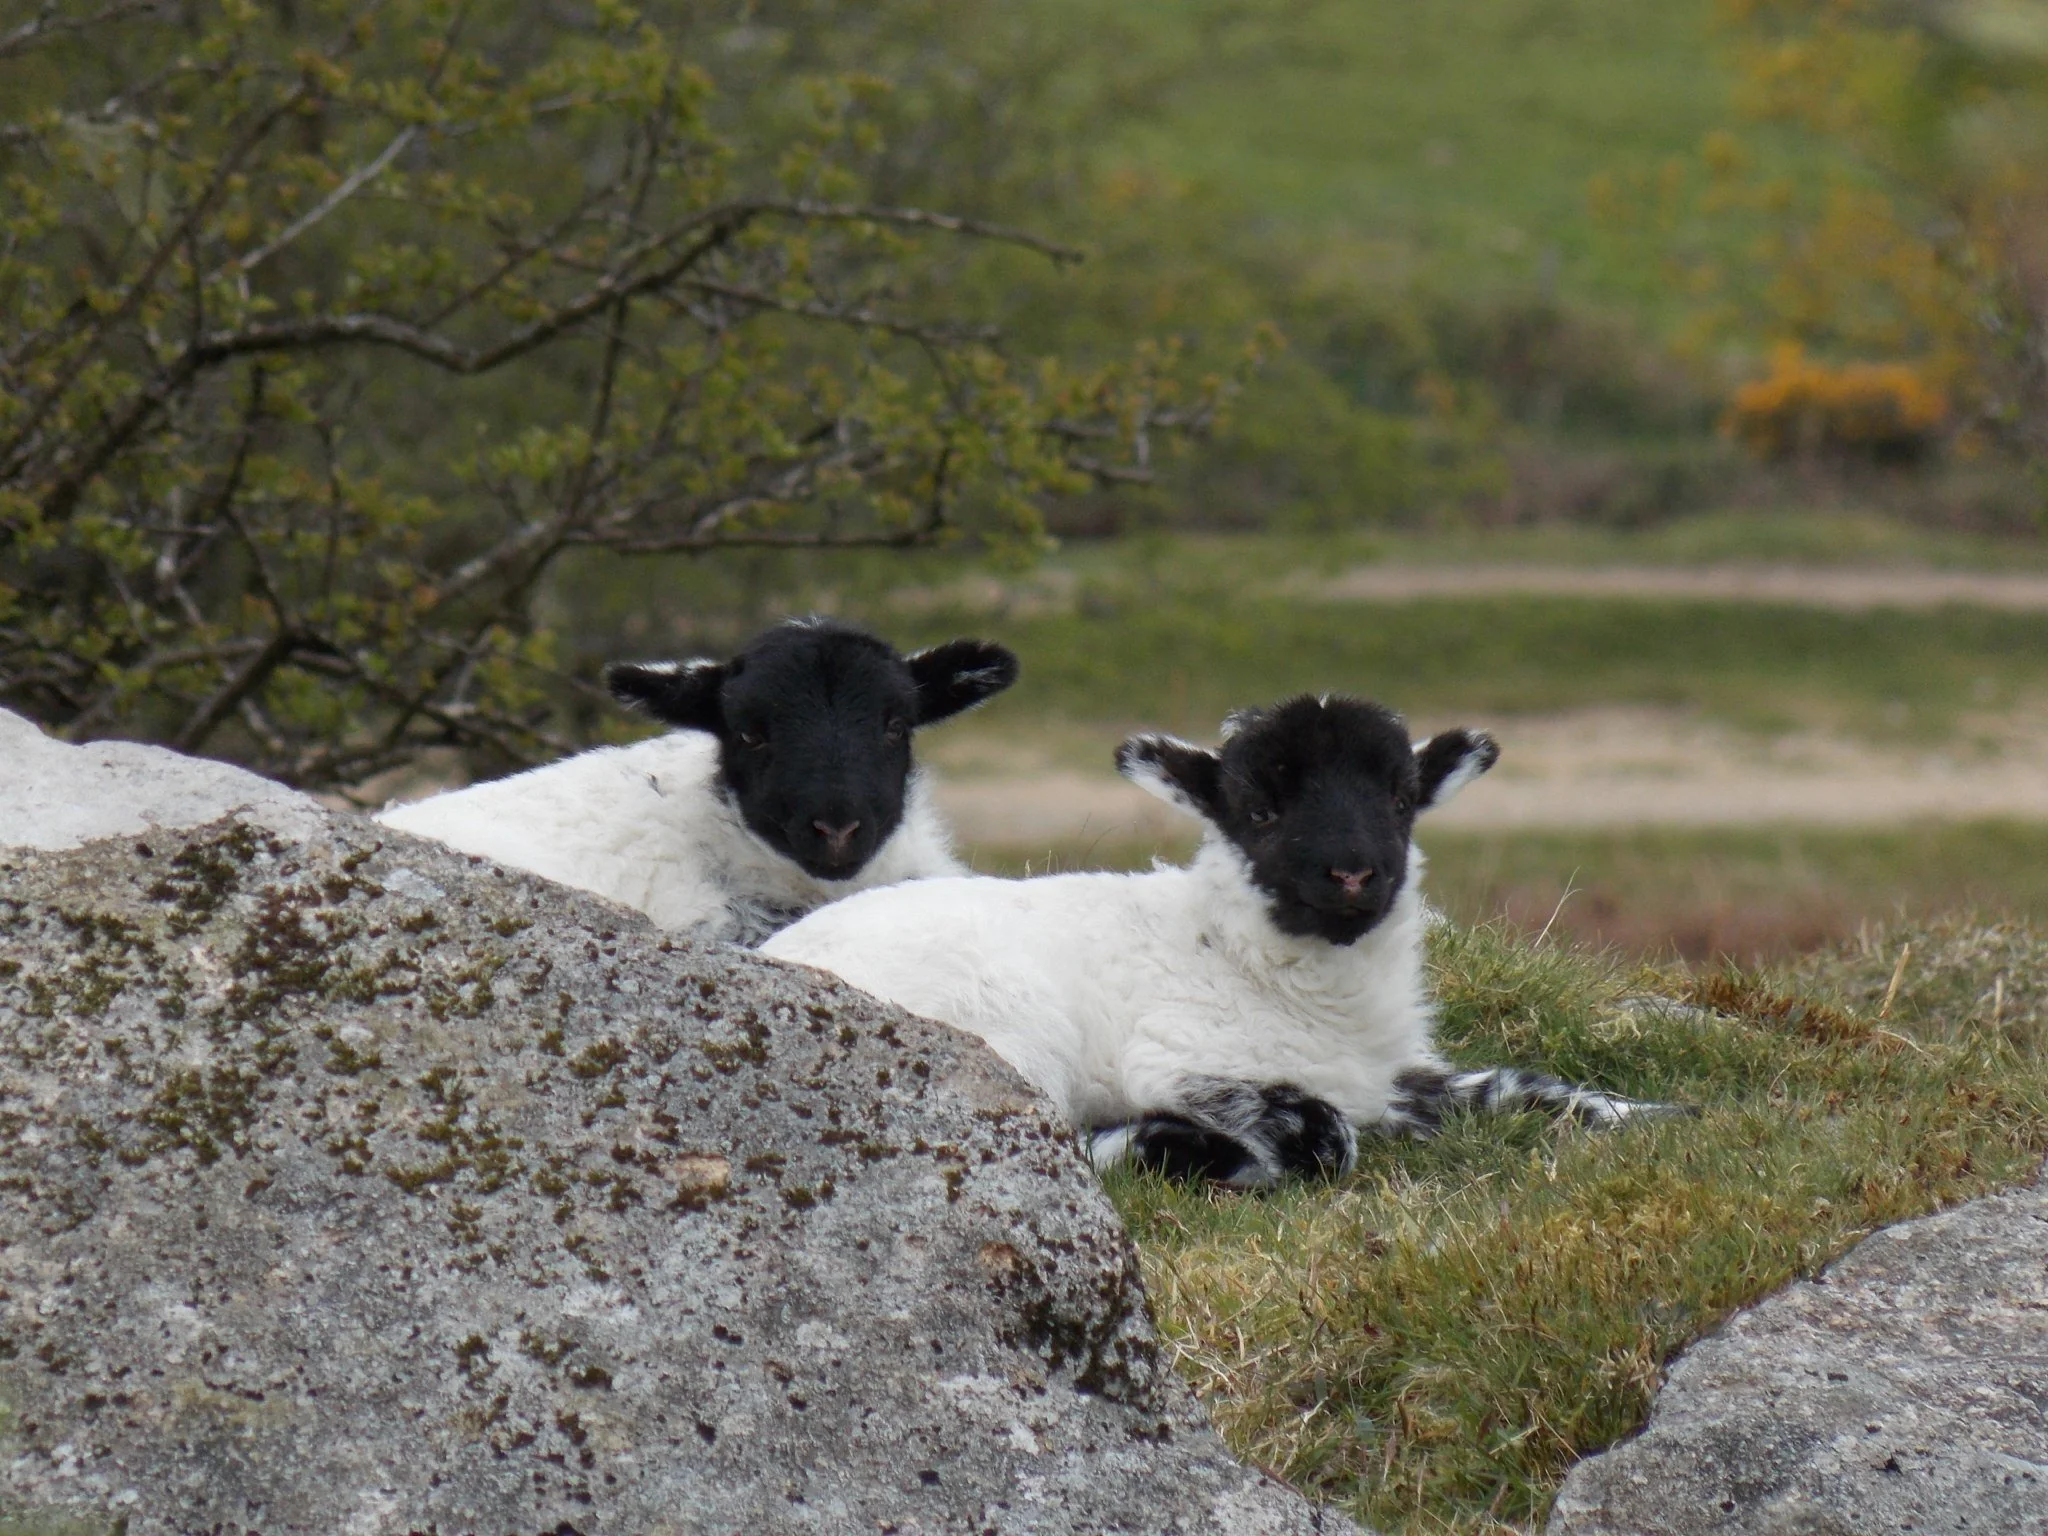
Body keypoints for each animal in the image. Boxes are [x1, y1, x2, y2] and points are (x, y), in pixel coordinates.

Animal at [761, 694, 1671, 1185]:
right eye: (1258, 811)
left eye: (1401, 801)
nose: (1354, 875)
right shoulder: (1178, 1060)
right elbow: (1323, 1138)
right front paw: (1200, 1151)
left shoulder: (1390, 1073)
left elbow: (1519, 1085)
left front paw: (1646, 1113)